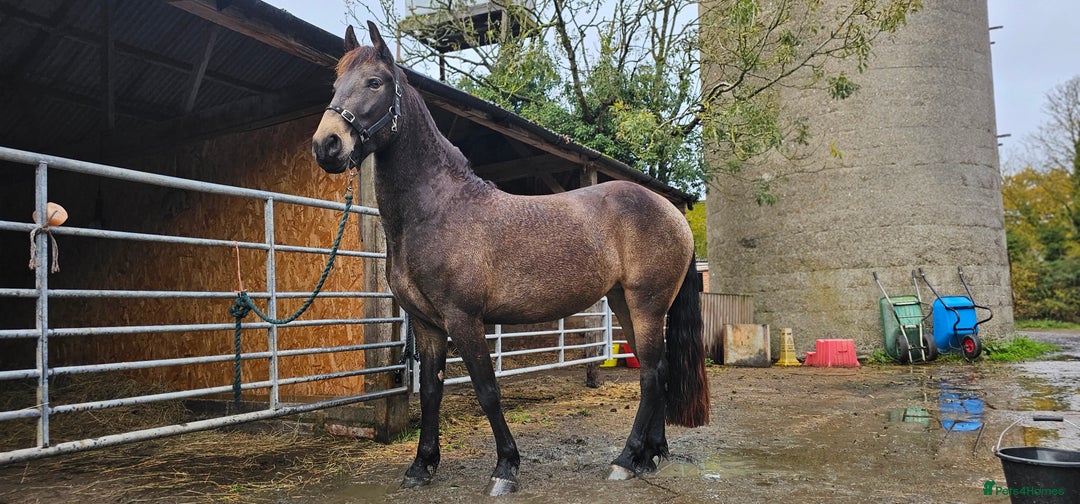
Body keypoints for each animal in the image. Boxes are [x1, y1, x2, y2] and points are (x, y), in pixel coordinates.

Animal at [311, 22, 710, 496]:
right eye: (334, 85)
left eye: (375, 82)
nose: (327, 145)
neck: (437, 208)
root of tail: (672, 212)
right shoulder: (427, 324)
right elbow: (430, 392)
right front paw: (422, 466)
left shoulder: (464, 318)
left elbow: (487, 389)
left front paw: (505, 468)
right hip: (623, 304)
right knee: (660, 370)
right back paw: (651, 456)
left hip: (647, 305)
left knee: (650, 375)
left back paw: (626, 459)